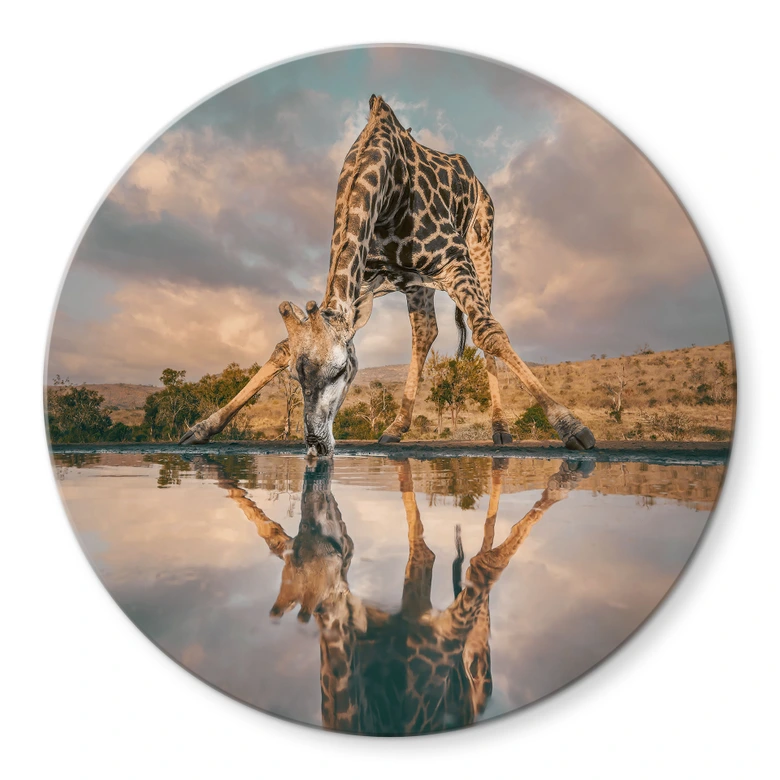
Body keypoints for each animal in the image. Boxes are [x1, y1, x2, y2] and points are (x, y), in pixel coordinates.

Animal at [180, 95, 596, 456]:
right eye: (298, 380)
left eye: (341, 371)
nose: (316, 445)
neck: (388, 189)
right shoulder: (362, 282)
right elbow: (283, 347)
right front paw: (201, 428)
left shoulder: (454, 258)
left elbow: (489, 332)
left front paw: (572, 427)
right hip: (415, 283)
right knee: (425, 332)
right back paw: (396, 427)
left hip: (481, 247)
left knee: (481, 327)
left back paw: (499, 429)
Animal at [211, 455, 592, 735]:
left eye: (333, 547)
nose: (322, 508)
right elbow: (434, 552)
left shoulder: (446, 632)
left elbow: (484, 565)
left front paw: (561, 483)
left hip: (477, 656)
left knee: (479, 583)